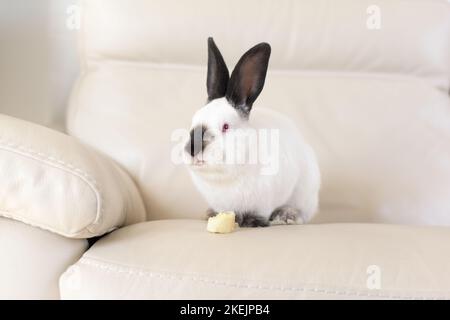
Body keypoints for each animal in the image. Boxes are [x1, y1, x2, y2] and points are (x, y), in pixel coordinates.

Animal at [184, 38, 320, 228]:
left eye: (225, 126)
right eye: (194, 118)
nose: (192, 148)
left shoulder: (265, 200)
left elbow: (259, 212)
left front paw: (253, 221)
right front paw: (217, 216)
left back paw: (286, 216)